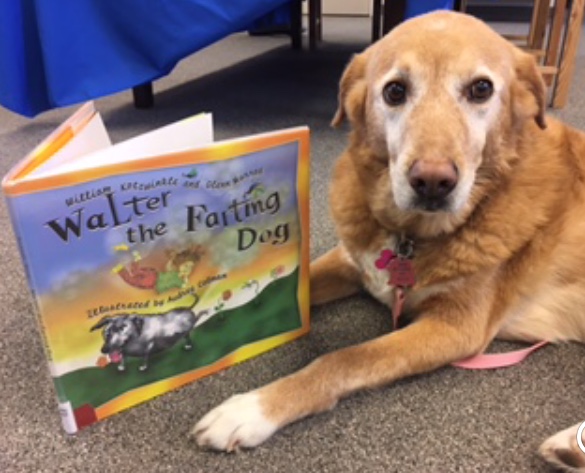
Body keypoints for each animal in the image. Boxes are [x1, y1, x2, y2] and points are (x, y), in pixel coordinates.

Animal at [193, 11, 584, 468]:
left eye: (481, 88)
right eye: (395, 91)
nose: (432, 182)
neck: (410, 236)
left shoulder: (457, 327)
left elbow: (342, 358)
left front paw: (251, 409)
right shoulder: (350, 262)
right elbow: (295, 282)